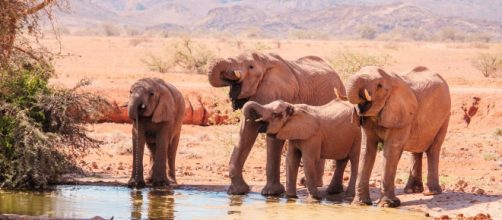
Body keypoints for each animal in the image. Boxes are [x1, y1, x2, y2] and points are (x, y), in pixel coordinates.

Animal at [207, 52, 346, 195]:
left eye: (251, 67)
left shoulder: (280, 92)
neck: (264, 61)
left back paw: (309, 183)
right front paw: (237, 192)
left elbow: (273, 137)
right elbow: (246, 132)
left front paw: (271, 193)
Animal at [346, 66, 452, 207]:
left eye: (379, 86)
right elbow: (367, 150)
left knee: (433, 149)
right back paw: (412, 191)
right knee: (416, 150)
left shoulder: (402, 115)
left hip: (445, 117)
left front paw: (388, 204)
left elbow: (391, 151)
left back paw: (431, 193)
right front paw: (360, 204)